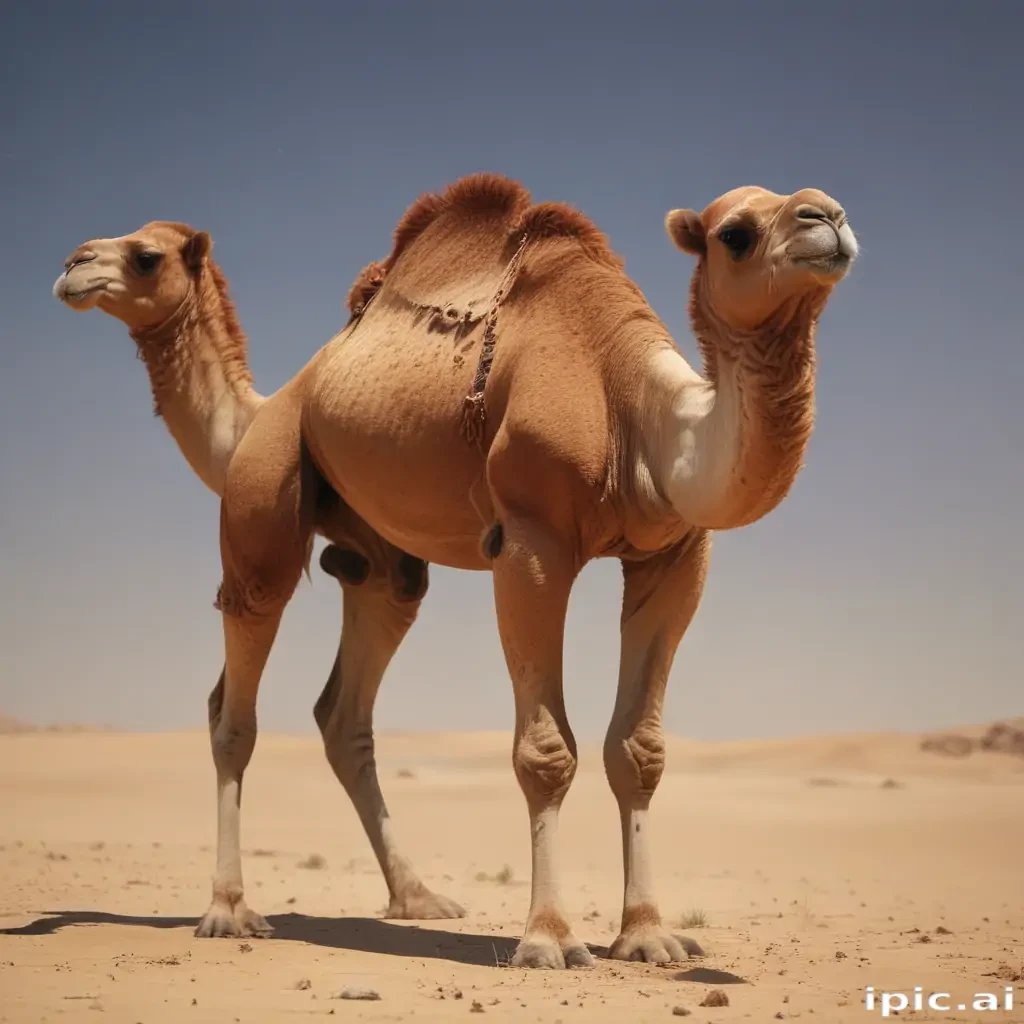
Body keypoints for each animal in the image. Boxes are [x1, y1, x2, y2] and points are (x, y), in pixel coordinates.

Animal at [53, 173, 857, 969]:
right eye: (735, 234)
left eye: (146, 256)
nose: (828, 216)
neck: (632, 407)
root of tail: (267, 410)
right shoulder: (531, 544)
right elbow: (546, 751)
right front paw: (550, 937)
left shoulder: (675, 553)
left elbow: (639, 752)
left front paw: (649, 934)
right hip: (264, 507)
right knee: (235, 702)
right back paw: (227, 911)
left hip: (379, 563)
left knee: (345, 707)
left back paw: (417, 900)